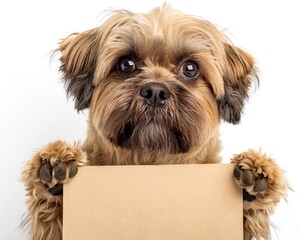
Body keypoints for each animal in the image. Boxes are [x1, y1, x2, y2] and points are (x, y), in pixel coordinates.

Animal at [21, 4, 288, 240]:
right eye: (126, 64)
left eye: (190, 68)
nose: (155, 92)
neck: (150, 165)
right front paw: (54, 165)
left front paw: (256, 175)